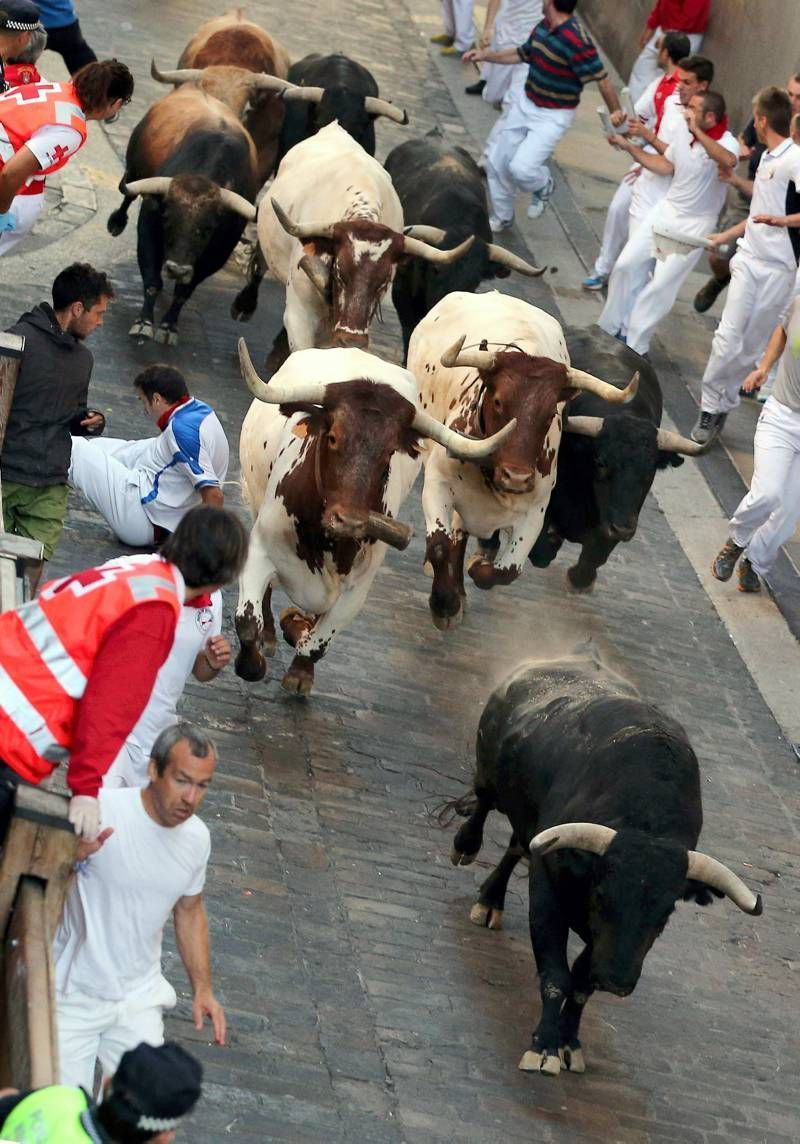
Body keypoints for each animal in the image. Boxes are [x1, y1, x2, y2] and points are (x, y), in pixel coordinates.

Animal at [228, 121, 471, 363]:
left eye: (383, 283)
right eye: (340, 274)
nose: (351, 342)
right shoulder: (299, 315)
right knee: (260, 264)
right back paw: (245, 304)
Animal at [234, 338, 517, 690]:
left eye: (389, 453)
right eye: (332, 437)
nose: (349, 521)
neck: (324, 540)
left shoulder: (356, 590)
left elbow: (318, 642)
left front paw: (300, 670)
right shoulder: (259, 551)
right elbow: (247, 622)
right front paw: (256, 657)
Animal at [407, 290, 636, 626]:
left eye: (551, 413)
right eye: (499, 401)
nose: (516, 477)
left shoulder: (535, 511)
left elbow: (505, 571)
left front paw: (475, 571)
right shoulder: (438, 484)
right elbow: (439, 546)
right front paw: (444, 605)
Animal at [448, 658, 764, 1075]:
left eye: (665, 912)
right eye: (601, 895)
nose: (617, 979)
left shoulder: (601, 940)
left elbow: (582, 985)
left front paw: (569, 1042)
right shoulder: (548, 894)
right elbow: (556, 976)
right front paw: (543, 1047)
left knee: (516, 845)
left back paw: (492, 900)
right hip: (489, 776)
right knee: (485, 805)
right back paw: (468, 854)